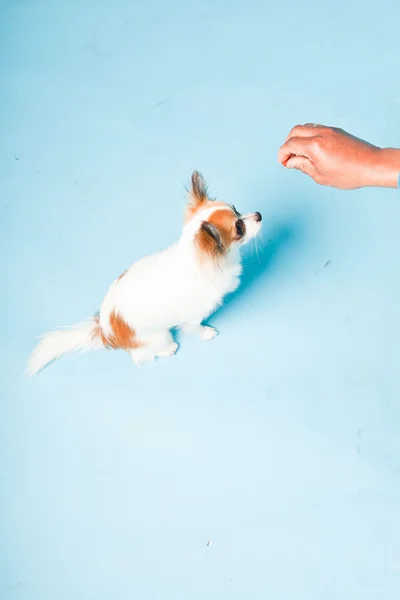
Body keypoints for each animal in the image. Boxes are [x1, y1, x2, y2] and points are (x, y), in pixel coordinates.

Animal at [26, 170, 260, 376]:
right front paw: (206, 333)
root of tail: (105, 331)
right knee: (141, 357)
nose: (258, 215)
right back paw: (169, 349)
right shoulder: (192, 318)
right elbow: (195, 328)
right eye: (239, 229)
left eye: (236, 209)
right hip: (158, 336)